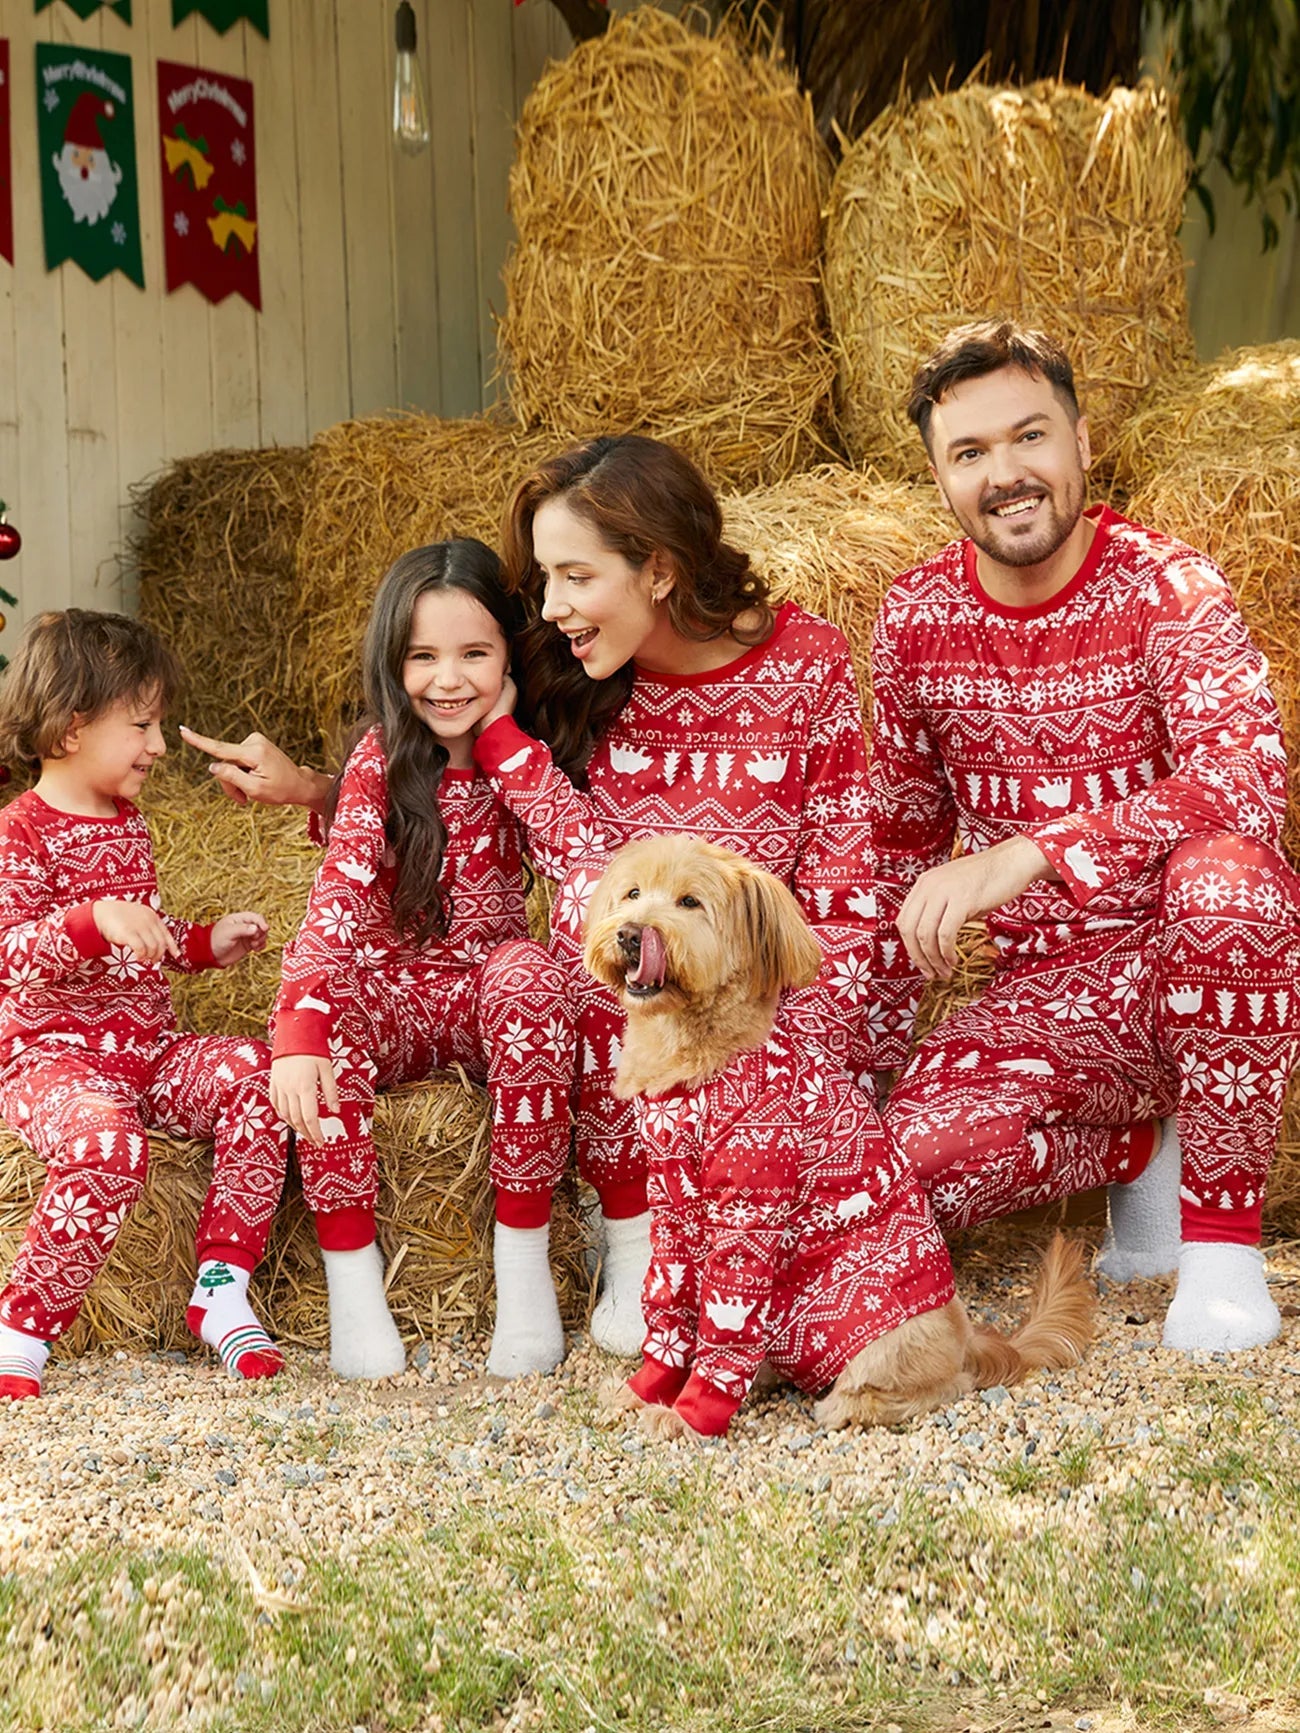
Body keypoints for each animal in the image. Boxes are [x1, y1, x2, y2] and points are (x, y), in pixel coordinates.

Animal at [585, 831, 1095, 1441]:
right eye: (632, 893)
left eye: (689, 902)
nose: (630, 934)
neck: (698, 1064)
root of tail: (969, 1336)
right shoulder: (672, 1213)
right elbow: (668, 1307)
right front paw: (647, 1389)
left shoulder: (750, 1217)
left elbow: (725, 1333)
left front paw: (690, 1414)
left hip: (881, 1332)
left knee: (939, 1386)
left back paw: (847, 1404)